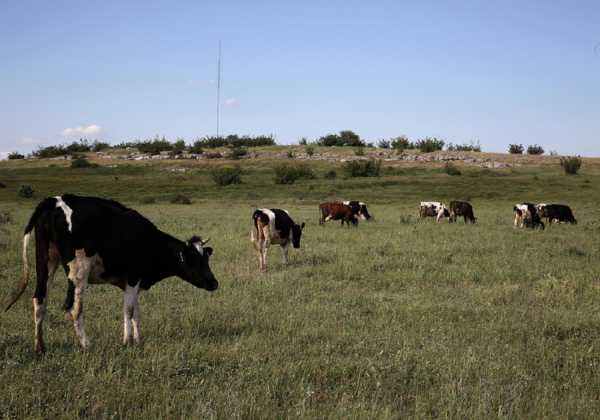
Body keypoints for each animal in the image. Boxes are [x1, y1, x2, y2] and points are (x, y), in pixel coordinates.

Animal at [4, 195, 218, 352]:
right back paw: (86, 345)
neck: (147, 240)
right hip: (79, 271)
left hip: (45, 262)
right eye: (195, 260)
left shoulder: (133, 282)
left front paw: (137, 340)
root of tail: (53, 200)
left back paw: (40, 347)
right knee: (74, 308)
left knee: (39, 299)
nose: (214, 283)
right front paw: (127, 341)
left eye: (206, 259)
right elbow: (128, 310)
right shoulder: (133, 278)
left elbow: (135, 312)